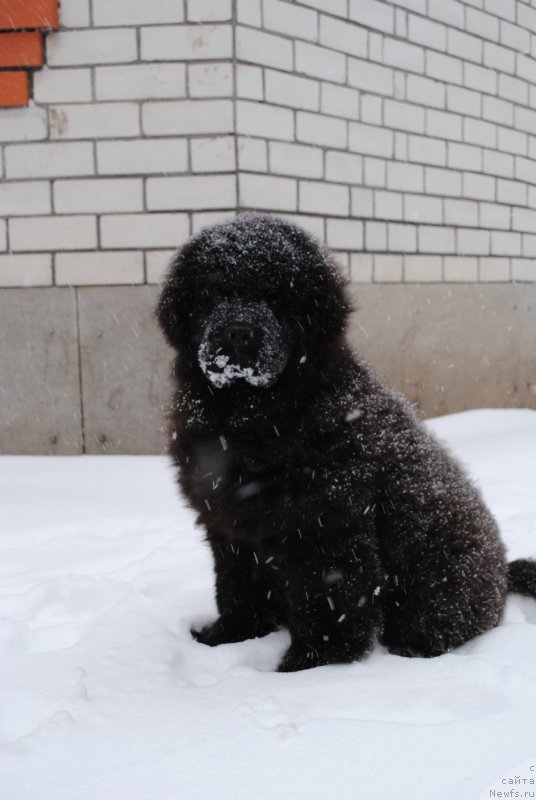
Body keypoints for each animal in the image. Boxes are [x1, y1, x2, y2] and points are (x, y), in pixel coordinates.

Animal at [157, 212, 536, 668]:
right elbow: (237, 588)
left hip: (439, 584)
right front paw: (228, 637)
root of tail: (502, 572)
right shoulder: (230, 526)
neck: (254, 415)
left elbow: (327, 606)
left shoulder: (326, 527)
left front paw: (311, 666)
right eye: (213, 293)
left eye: (277, 299)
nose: (238, 333)